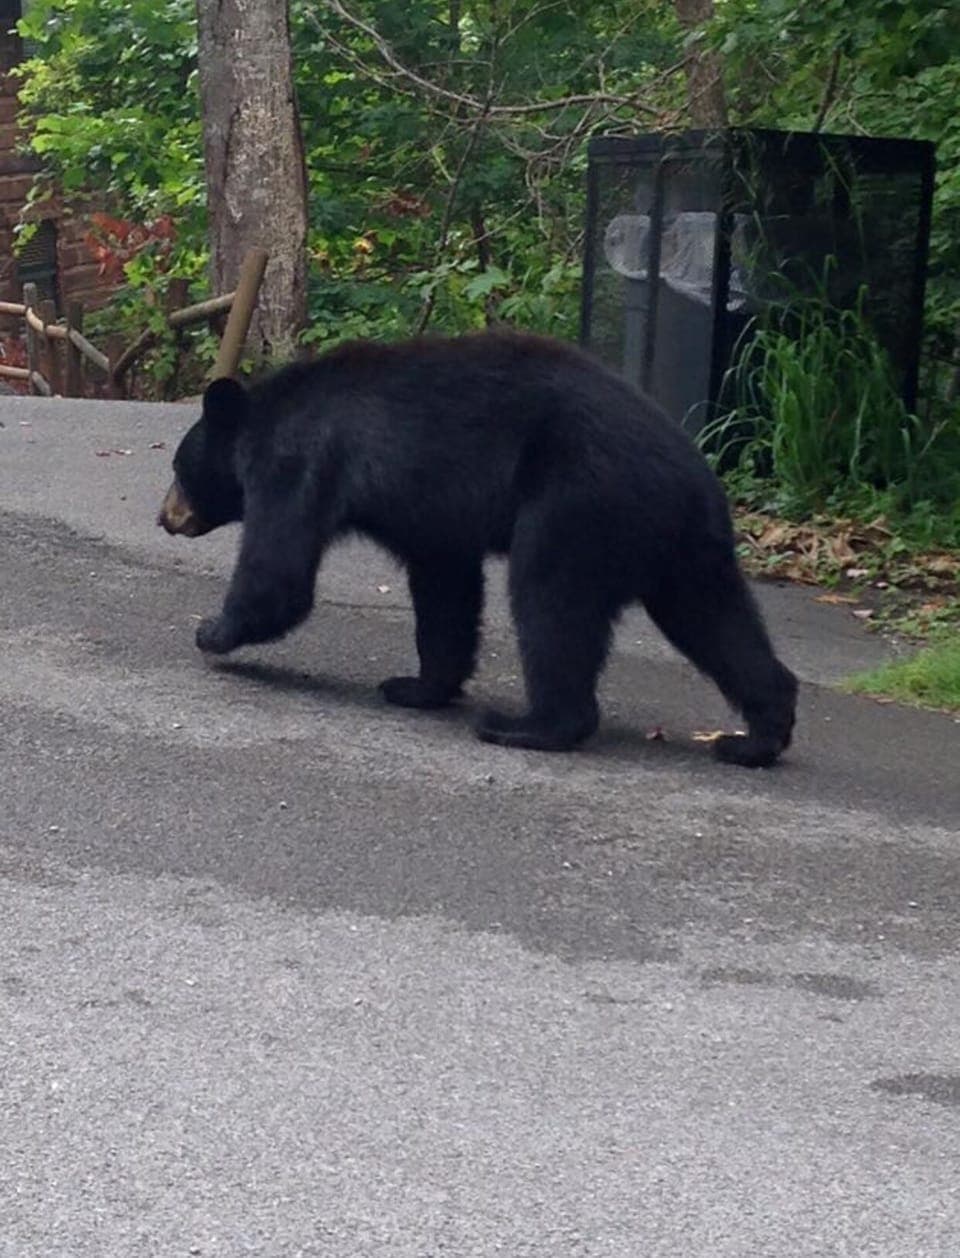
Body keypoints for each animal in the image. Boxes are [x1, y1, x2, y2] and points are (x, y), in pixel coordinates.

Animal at [158, 330, 797, 767]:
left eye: (177, 468)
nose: (164, 517)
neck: (265, 416)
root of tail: (691, 476)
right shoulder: (431, 517)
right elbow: (445, 588)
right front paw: (417, 687)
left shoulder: (298, 461)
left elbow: (280, 571)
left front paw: (212, 629)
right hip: (683, 546)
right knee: (716, 620)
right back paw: (757, 736)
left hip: (578, 503)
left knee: (550, 601)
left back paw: (528, 725)